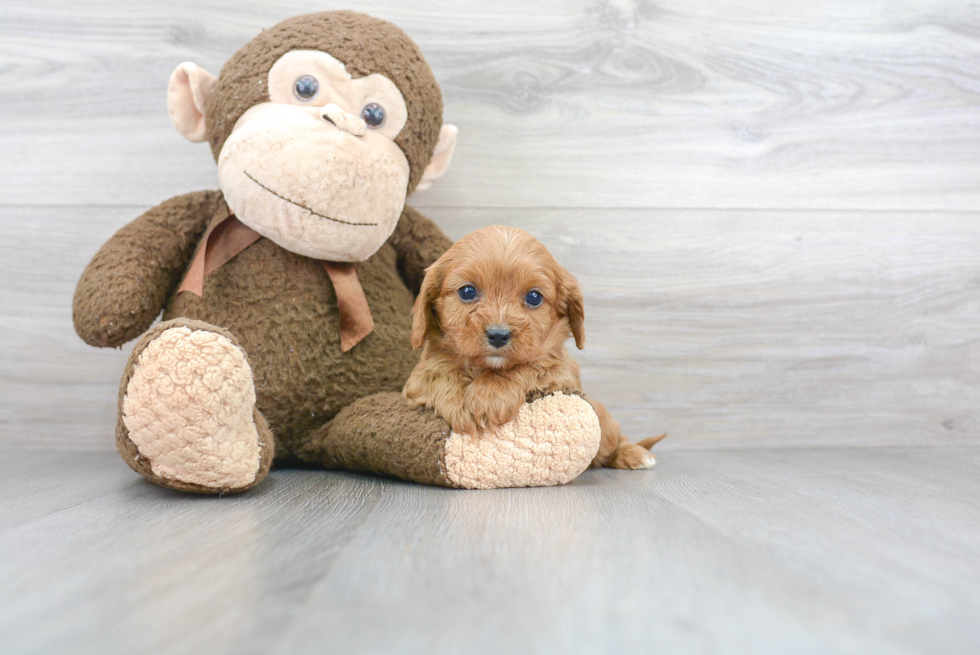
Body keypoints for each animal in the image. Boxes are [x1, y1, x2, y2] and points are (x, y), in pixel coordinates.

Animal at [402, 227, 664, 472]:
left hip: (602, 417)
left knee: (612, 442)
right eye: (467, 291)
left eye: (534, 297)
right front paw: (460, 404)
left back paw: (635, 454)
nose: (498, 335)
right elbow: (438, 373)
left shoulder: (561, 373)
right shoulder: (417, 378)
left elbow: (530, 365)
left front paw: (490, 397)